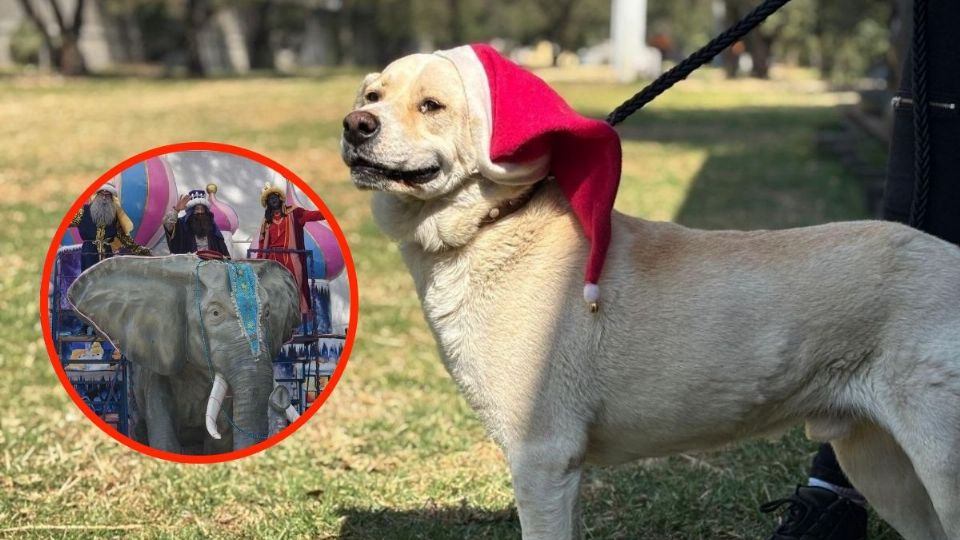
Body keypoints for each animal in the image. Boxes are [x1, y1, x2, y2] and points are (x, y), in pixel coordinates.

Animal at [342, 50, 960, 540]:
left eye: (432, 106)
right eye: (373, 95)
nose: (355, 125)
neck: (495, 222)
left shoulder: (542, 457)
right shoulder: (560, 470)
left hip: (938, 464)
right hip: (878, 464)